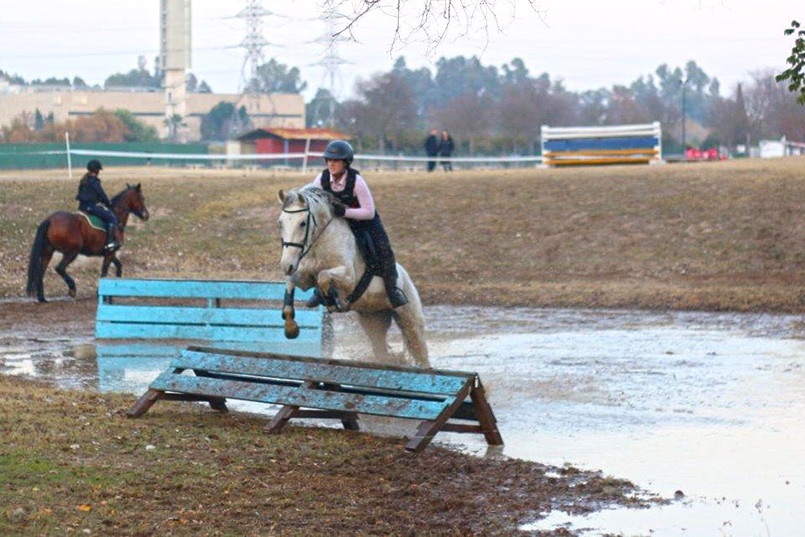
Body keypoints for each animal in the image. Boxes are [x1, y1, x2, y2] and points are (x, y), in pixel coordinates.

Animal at [276, 185, 428, 368]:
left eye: (302, 223)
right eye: (280, 223)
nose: (286, 265)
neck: (320, 242)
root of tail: (408, 279)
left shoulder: (349, 278)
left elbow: (323, 276)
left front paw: (332, 301)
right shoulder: (304, 278)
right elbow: (292, 282)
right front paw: (291, 327)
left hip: (409, 317)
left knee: (420, 349)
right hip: (373, 320)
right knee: (380, 349)